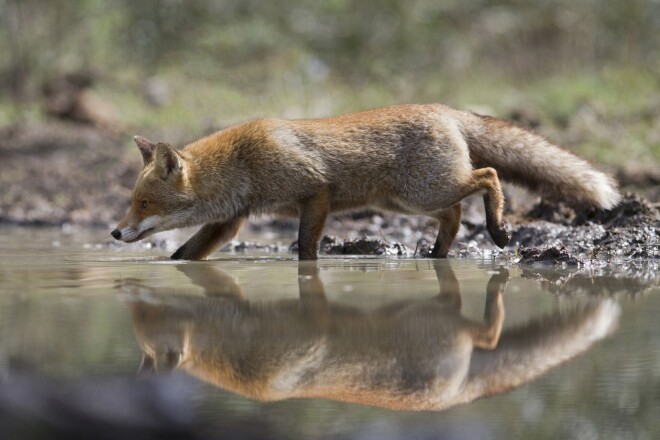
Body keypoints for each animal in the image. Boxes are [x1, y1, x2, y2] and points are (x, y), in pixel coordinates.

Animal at [111, 104, 620, 260]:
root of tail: (444, 109)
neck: (245, 164)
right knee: (454, 215)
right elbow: (182, 256)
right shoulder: (230, 222)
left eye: (143, 204)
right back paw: (437, 255)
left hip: (425, 190)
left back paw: (497, 229)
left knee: (488, 177)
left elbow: (306, 248)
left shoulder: (316, 191)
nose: (114, 232)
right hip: (408, 203)